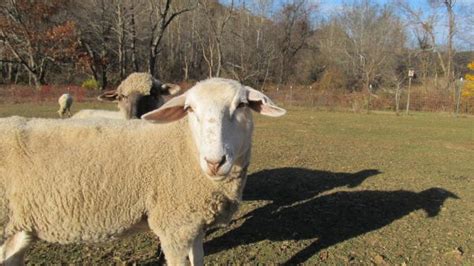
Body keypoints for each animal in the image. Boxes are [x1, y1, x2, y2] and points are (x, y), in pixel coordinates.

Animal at [0, 78, 286, 264]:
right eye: (189, 109)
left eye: (242, 106)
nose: (215, 162)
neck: (184, 147)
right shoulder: (173, 227)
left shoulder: (192, 225)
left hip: (17, 233)